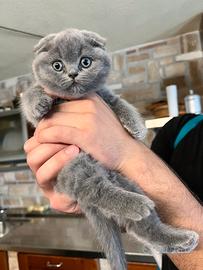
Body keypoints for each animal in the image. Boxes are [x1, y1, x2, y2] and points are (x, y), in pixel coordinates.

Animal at [20, 28, 198, 268]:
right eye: (57, 65)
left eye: (85, 62)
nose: (73, 73)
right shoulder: (38, 112)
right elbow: (30, 94)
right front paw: (38, 103)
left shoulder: (105, 95)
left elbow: (120, 102)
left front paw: (137, 127)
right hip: (76, 167)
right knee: (95, 190)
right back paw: (138, 205)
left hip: (124, 180)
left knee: (140, 226)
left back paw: (179, 239)